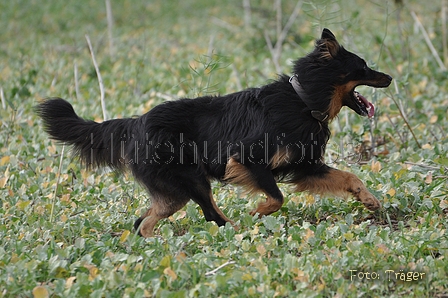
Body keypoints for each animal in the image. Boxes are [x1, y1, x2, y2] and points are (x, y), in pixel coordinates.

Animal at [36, 28, 392, 237]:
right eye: (363, 66)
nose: (389, 77)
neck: (303, 100)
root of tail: (135, 122)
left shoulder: (305, 167)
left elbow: (349, 177)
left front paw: (370, 200)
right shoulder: (247, 160)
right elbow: (276, 197)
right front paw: (257, 212)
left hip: (178, 189)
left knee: (147, 221)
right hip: (188, 182)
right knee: (205, 215)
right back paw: (230, 231)